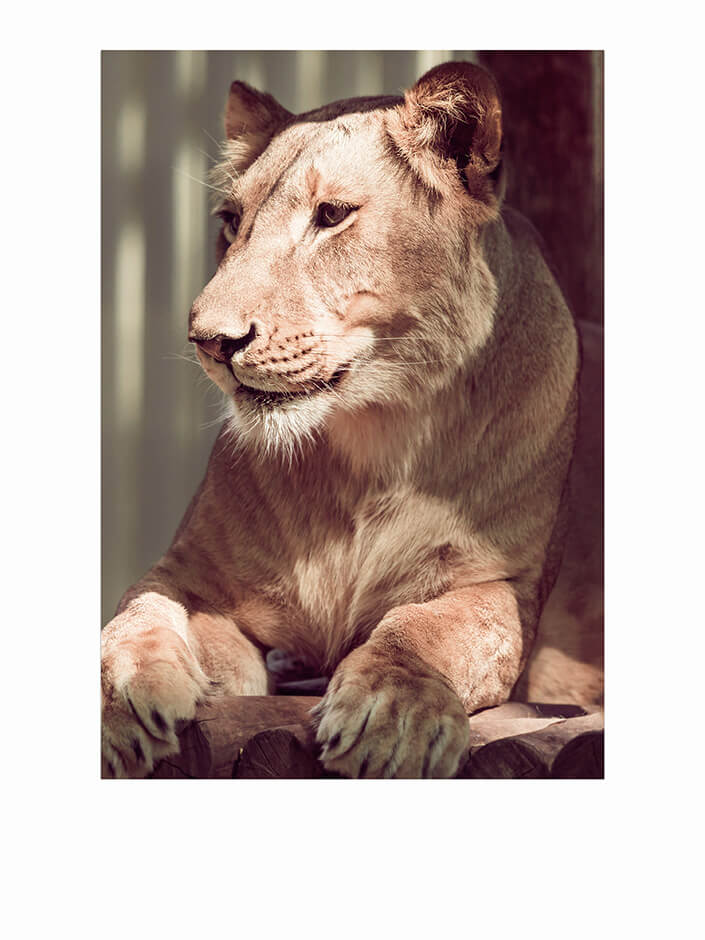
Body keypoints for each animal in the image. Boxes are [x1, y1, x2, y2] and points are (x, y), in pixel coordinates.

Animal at [101, 61, 603, 779]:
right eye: (230, 220)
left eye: (331, 216)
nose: (209, 342)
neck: (370, 445)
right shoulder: (190, 572)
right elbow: (138, 609)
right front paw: (127, 692)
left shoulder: (501, 587)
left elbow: (425, 629)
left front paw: (388, 714)